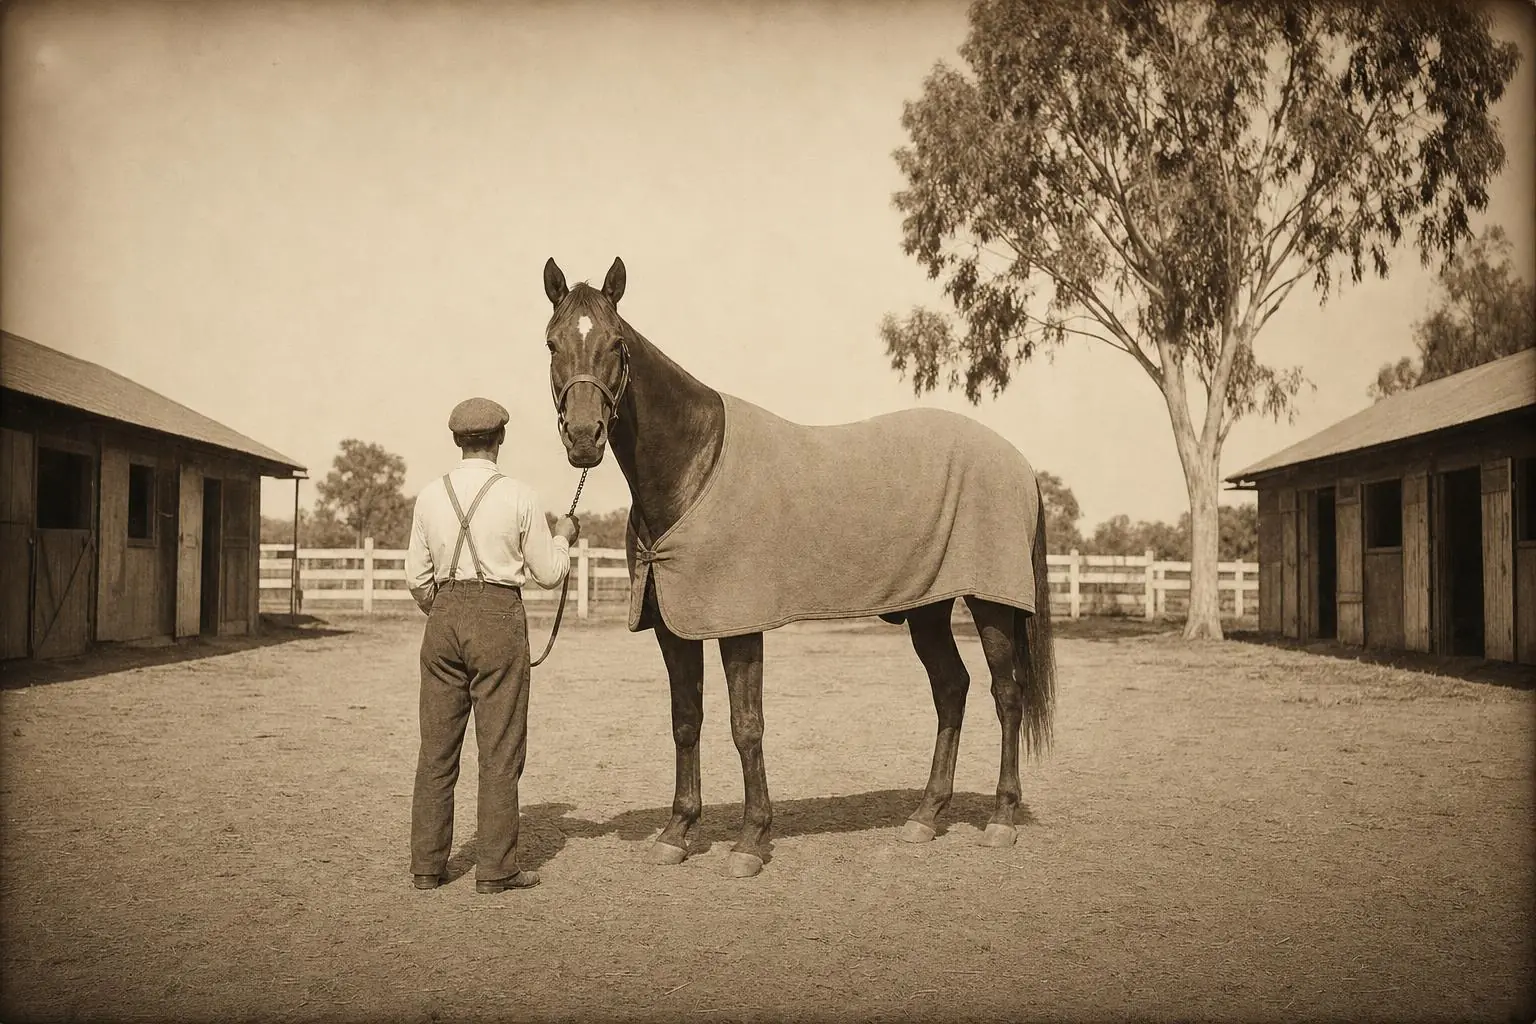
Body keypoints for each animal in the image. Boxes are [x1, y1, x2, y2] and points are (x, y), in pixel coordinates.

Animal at [540, 256, 1056, 879]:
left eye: (617, 344)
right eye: (551, 344)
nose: (584, 438)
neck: (694, 463)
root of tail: (1019, 463)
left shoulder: (738, 625)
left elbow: (746, 725)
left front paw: (750, 841)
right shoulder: (674, 626)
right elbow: (686, 720)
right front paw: (677, 832)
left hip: (991, 603)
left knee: (1007, 694)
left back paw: (1002, 819)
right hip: (927, 608)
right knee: (951, 689)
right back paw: (925, 816)